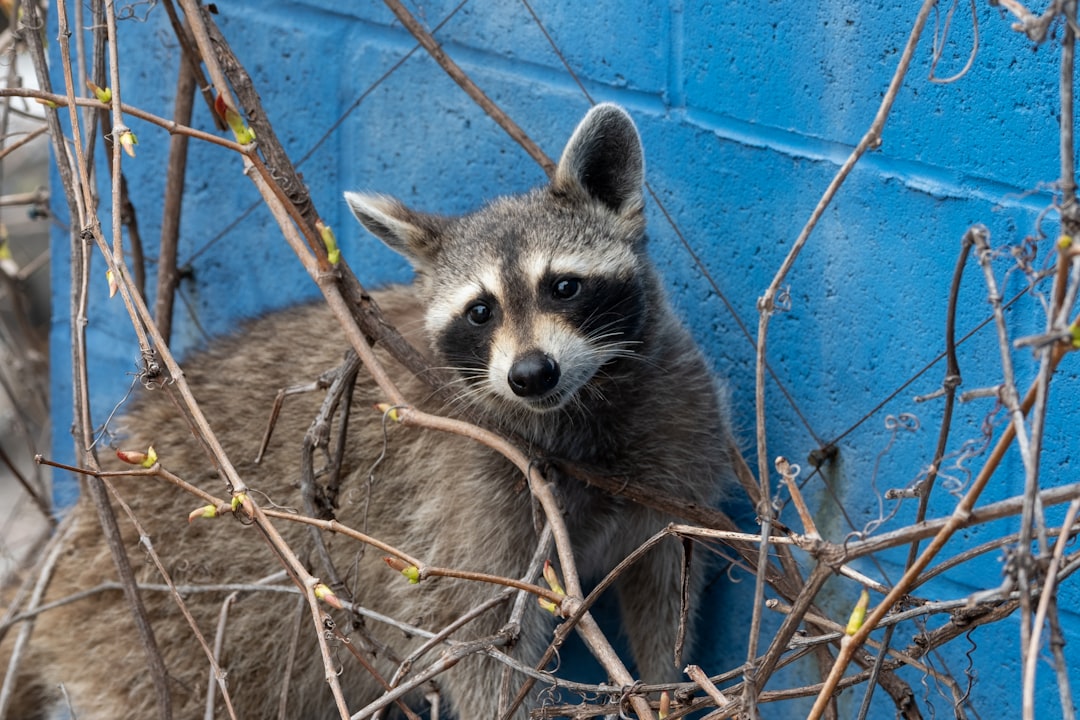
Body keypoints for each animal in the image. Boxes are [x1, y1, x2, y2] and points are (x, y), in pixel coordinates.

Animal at [6, 104, 734, 716]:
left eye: (564, 287)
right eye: (481, 311)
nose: (530, 375)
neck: (581, 405)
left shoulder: (677, 435)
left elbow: (666, 587)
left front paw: (664, 687)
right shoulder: (473, 488)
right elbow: (483, 643)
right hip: (157, 636)